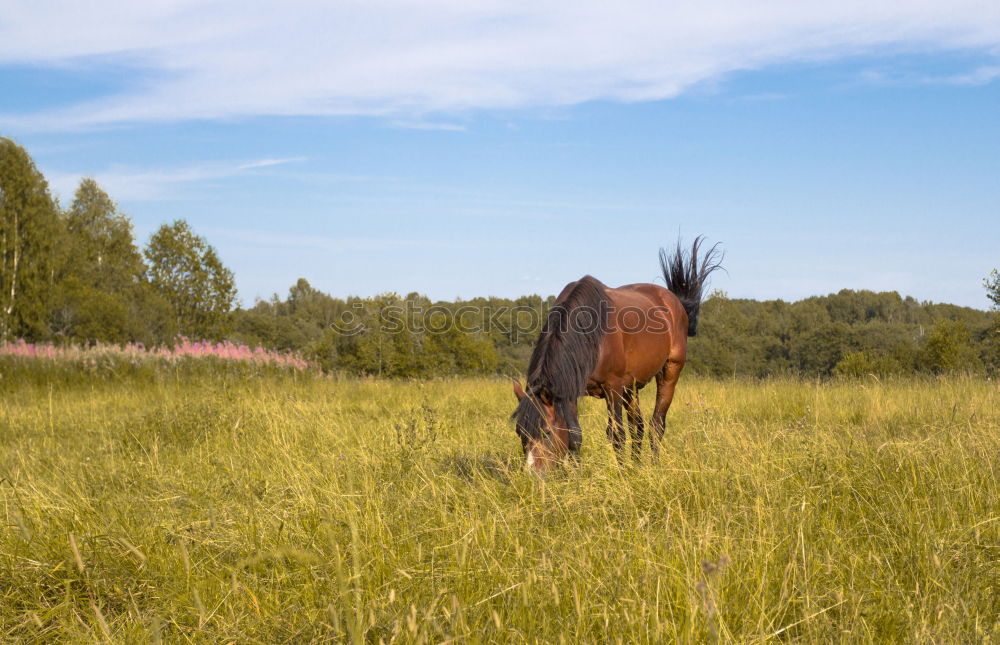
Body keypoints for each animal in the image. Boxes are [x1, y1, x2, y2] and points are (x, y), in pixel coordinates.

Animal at [516, 236, 720, 472]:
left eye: (546, 432)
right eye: (520, 433)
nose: (532, 474)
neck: (593, 336)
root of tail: (675, 302)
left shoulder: (612, 387)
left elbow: (616, 434)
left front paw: (622, 472)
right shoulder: (571, 387)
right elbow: (575, 434)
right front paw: (576, 475)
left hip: (669, 371)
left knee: (656, 424)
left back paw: (654, 465)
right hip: (631, 387)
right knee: (638, 426)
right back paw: (637, 465)